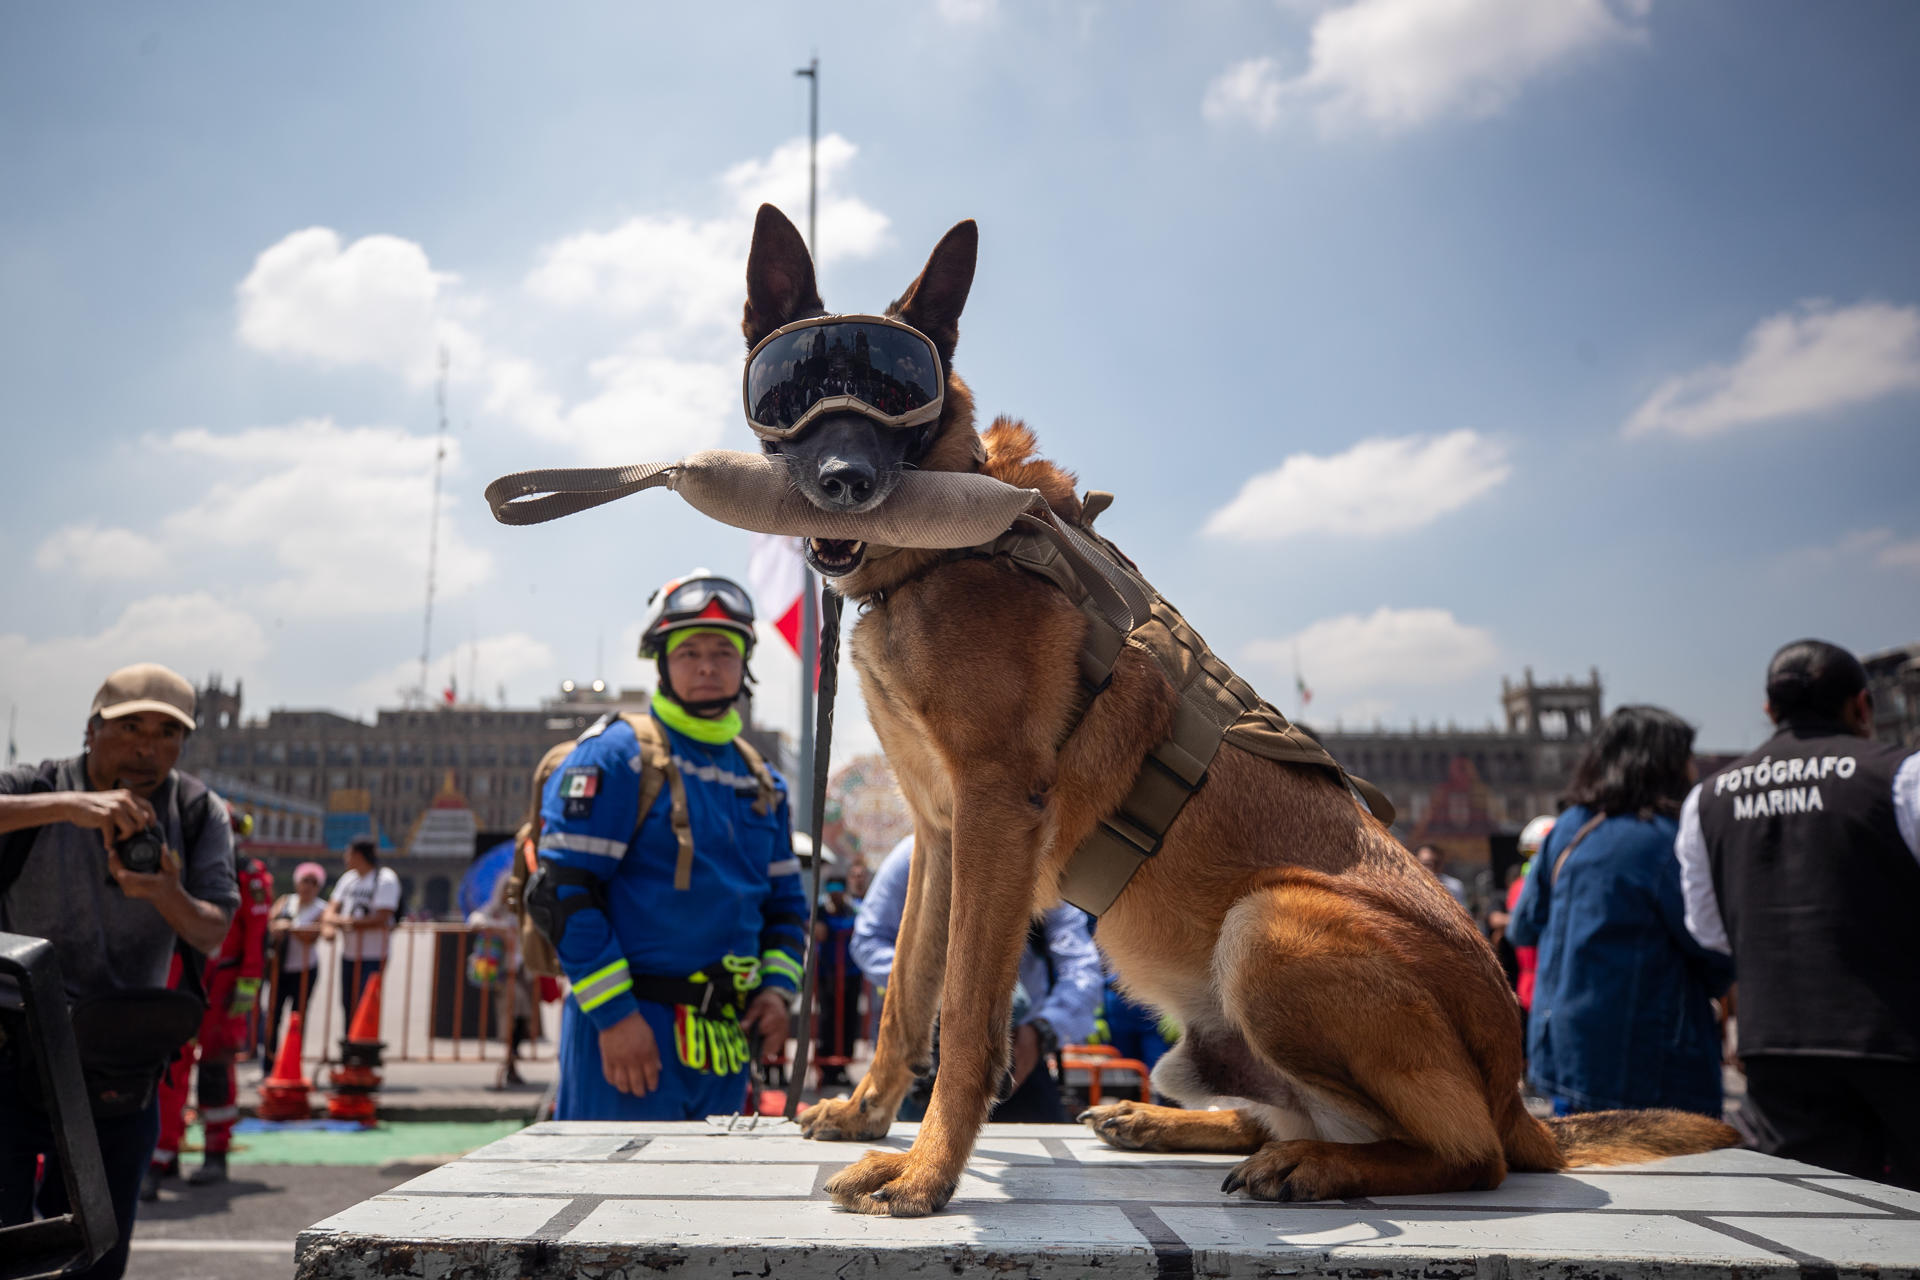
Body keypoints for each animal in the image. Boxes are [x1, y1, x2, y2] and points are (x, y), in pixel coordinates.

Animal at [733, 205, 1743, 1220]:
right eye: (793, 390)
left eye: (896, 388)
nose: (844, 480)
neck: (948, 547)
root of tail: (1517, 1098)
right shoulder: (941, 832)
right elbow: (911, 989)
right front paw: (866, 1113)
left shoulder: (994, 812)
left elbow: (969, 1015)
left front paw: (927, 1171)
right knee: (1282, 1116)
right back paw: (1171, 1124)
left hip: (1275, 924)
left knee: (1467, 1155)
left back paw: (1318, 1166)